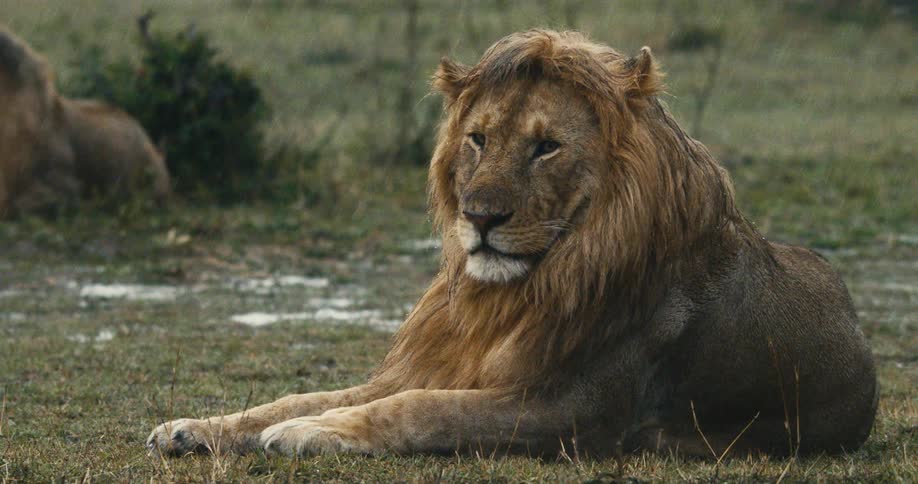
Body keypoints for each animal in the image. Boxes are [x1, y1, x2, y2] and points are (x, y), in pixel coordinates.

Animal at [148, 30, 877, 459]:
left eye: (546, 146)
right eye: (478, 139)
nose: (480, 217)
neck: (513, 293)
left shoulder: (576, 414)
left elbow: (422, 412)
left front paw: (311, 433)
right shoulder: (434, 363)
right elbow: (305, 395)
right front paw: (196, 427)